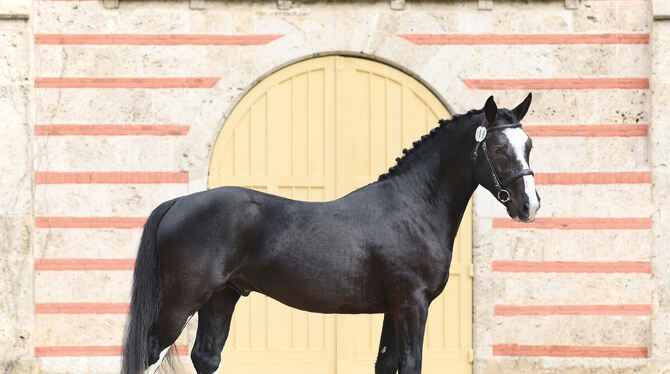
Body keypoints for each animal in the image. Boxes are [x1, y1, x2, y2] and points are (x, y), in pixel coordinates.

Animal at [121, 94, 540, 374]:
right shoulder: (412, 304)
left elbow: (387, 365)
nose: (530, 206)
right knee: (149, 354)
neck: (413, 206)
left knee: (206, 357)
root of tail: (179, 201)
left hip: (222, 297)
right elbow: (411, 364)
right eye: (498, 148)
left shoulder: (393, 308)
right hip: (181, 301)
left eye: (529, 145)